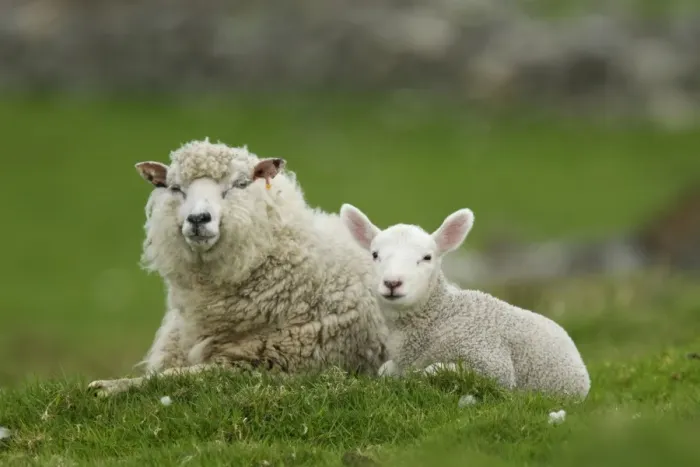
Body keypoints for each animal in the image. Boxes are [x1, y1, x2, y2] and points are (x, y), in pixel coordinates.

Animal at [87, 139, 389, 397]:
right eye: (175, 188)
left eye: (240, 184)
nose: (198, 219)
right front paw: (111, 384)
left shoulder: (257, 363)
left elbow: (171, 378)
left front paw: (108, 387)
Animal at [339, 204, 591, 400]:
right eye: (375, 255)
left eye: (427, 257)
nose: (392, 283)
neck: (439, 315)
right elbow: (384, 371)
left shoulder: (491, 362)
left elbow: (431, 370)